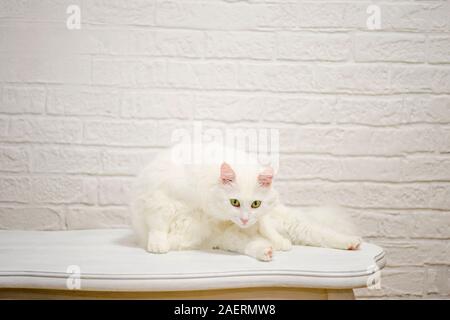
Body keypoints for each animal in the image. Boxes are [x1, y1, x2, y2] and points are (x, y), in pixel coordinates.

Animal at [130, 144, 362, 262]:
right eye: (234, 202)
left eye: (256, 204)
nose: (244, 219)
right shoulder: (159, 198)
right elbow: (158, 224)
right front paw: (158, 245)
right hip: (224, 238)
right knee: (252, 246)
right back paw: (267, 251)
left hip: (290, 222)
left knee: (320, 233)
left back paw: (351, 243)